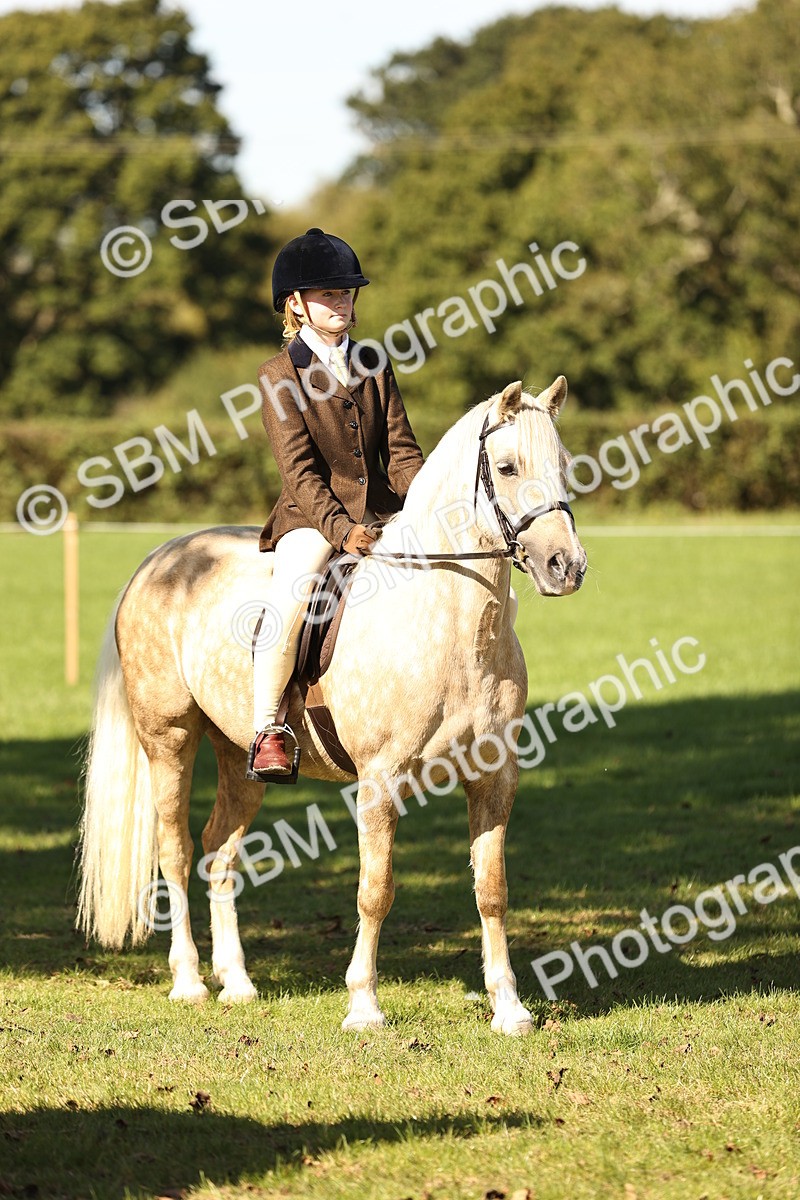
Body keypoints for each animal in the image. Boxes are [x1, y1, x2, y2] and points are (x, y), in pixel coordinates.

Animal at [77, 376, 587, 1035]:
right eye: (506, 466)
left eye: (565, 464)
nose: (565, 567)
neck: (453, 625)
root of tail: (159, 558)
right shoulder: (379, 781)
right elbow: (376, 890)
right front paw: (363, 1006)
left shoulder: (494, 778)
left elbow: (491, 890)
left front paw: (509, 1009)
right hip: (168, 739)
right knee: (177, 849)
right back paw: (189, 982)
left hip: (239, 756)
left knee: (219, 851)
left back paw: (237, 983)